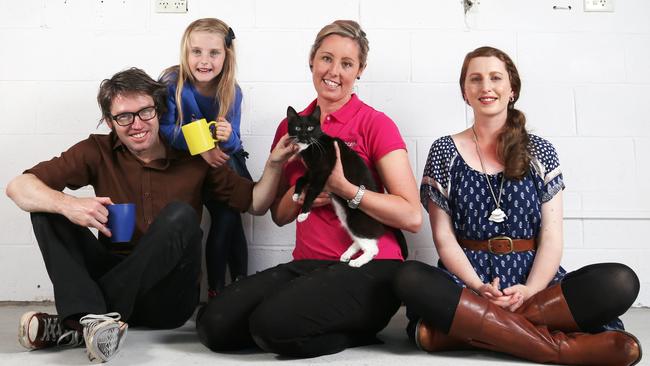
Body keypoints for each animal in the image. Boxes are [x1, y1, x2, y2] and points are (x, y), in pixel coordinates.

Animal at [286, 104, 382, 268]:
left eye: (310, 127)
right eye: (297, 128)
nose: (304, 135)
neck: (311, 146)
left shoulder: (323, 171)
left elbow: (312, 190)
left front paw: (304, 213)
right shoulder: (312, 170)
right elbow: (300, 179)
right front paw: (296, 194)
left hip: (357, 218)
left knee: (372, 247)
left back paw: (357, 262)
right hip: (345, 216)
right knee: (359, 238)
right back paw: (347, 254)